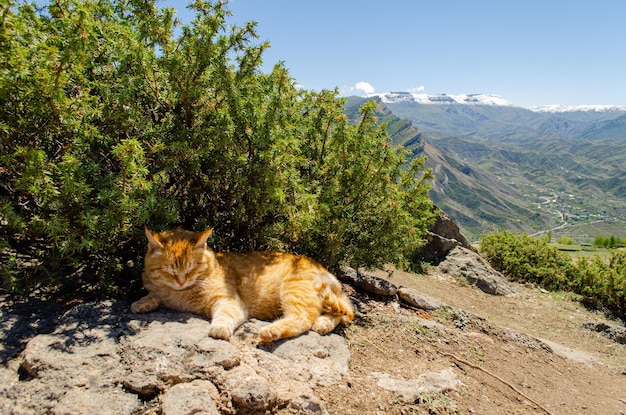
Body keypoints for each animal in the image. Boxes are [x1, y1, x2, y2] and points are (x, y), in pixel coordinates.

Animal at [129, 229, 354, 342]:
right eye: (170, 270)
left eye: (192, 268)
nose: (181, 281)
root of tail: (326, 271)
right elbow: (154, 294)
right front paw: (142, 303)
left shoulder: (230, 302)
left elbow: (224, 315)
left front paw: (219, 328)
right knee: (340, 312)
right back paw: (323, 324)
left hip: (293, 289)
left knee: (304, 319)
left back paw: (272, 331)